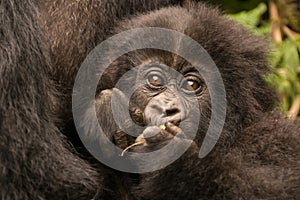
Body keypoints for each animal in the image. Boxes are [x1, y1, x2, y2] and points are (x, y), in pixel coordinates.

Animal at [80, 1, 300, 200]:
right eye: (155, 79)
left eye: (191, 84)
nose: (167, 110)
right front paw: (107, 110)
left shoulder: (279, 137)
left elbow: (276, 189)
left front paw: (170, 157)